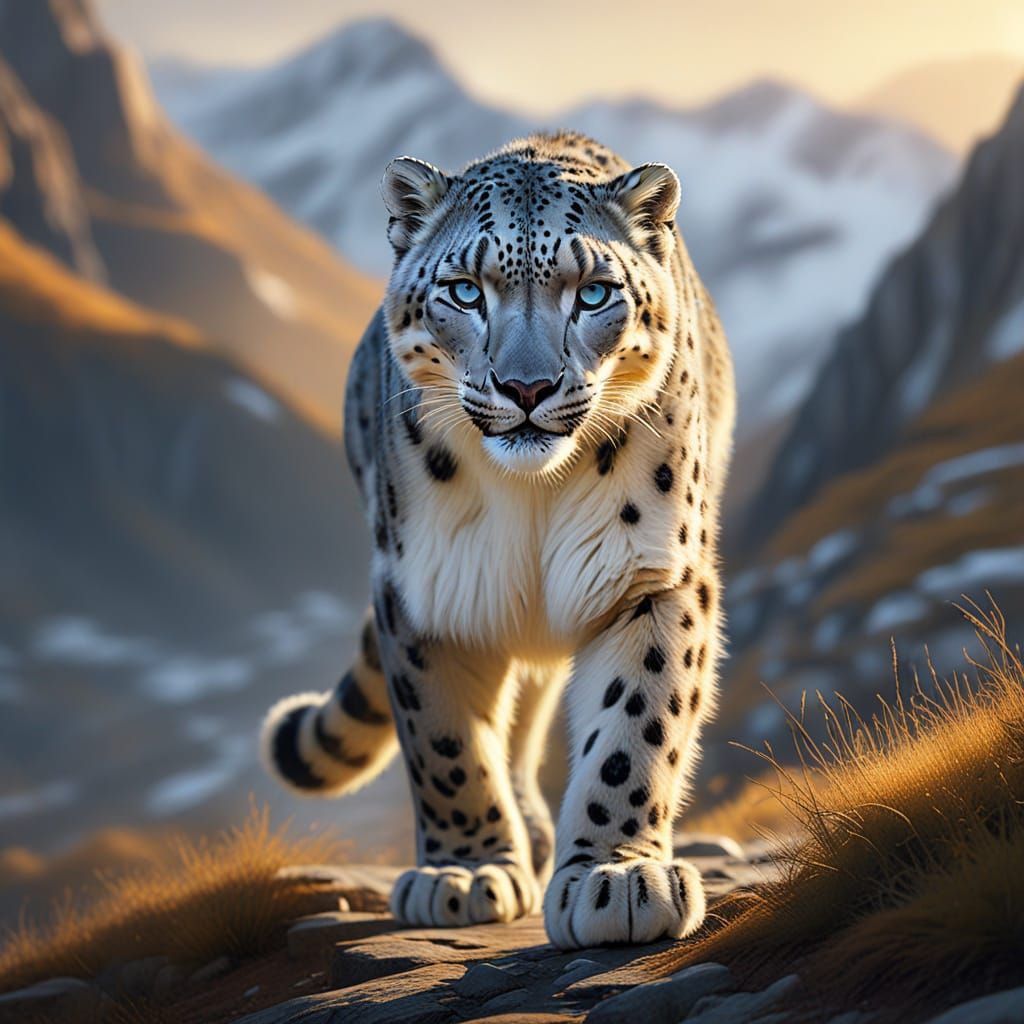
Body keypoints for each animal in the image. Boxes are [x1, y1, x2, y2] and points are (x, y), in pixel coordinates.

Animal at [261, 131, 735, 949]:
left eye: (594, 293)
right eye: (464, 291)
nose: (526, 388)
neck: (533, 498)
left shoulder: (653, 573)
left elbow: (636, 723)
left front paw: (615, 878)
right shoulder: (425, 592)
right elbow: (445, 740)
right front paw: (465, 873)